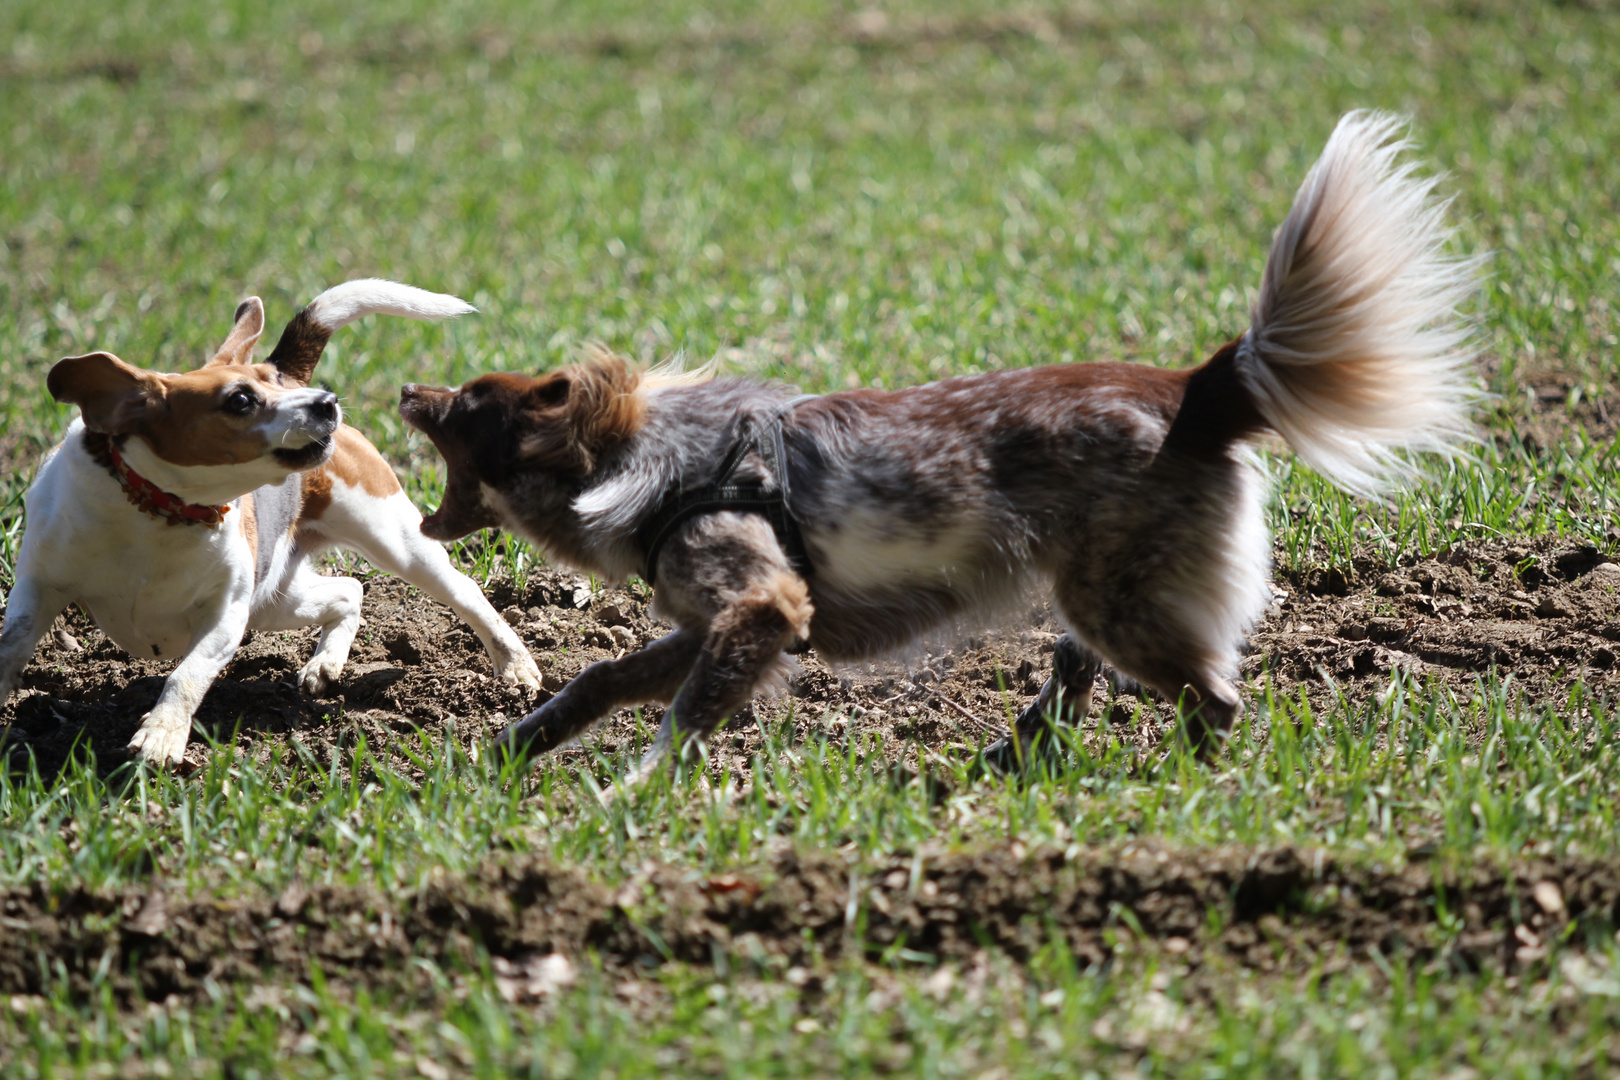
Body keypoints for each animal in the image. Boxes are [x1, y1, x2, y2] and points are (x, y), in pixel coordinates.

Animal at [0, 281, 544, 767]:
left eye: (269, 384)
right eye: (240, 400)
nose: (326, 401)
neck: (159, 509)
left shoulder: (226, 616)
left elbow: (186, 675)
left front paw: (160, 737)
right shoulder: (39, 584)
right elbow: (13, 642)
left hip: (395, 542)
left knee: (464, 592)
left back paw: (515, 666)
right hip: (276, 599)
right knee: (349, 591)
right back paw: (326, 662)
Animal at [395, 114, 1483, 780]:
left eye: (471, 403)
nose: (405, 387)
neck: (649, 458)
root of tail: (1194, 389)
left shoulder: (762, 605)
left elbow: (679, 721)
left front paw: (636, 794)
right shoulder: (718, 623)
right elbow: (600, 678)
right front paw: (513, 747)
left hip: (1122, 594)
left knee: (1213, 700)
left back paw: (1166, 787)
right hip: (1095, 583)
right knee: (1086, 664)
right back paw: (1025, 748)